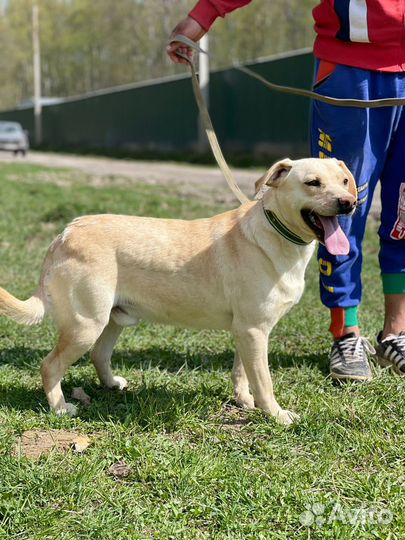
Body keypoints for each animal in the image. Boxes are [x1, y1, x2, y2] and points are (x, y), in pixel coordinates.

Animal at [0, 158, 354, 424]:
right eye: (312, 183)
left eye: (344, 181)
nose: (349, 203)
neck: (275, 231)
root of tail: (64, 233)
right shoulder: (254, 330)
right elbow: (264, 381)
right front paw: (276, 416)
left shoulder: (247, 330)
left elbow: (242, 372)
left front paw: (243, 400)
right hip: (85, 325)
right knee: (50, 366)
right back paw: (60, 408)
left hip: (112, 319)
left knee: (99, 355)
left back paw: (112, 384)